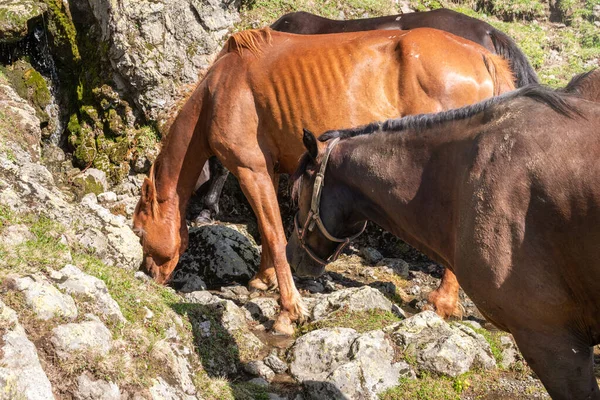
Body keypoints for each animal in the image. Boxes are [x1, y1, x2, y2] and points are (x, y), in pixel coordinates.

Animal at [134, 26, 512, 334]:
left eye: (138, 231)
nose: (147, 274)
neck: (219, 88)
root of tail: (483, 56)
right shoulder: (268, 170)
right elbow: (269, 230)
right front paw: (263, 279)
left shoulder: (249, 169)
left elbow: (273, 233)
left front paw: (288, 310)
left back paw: (443, 302)